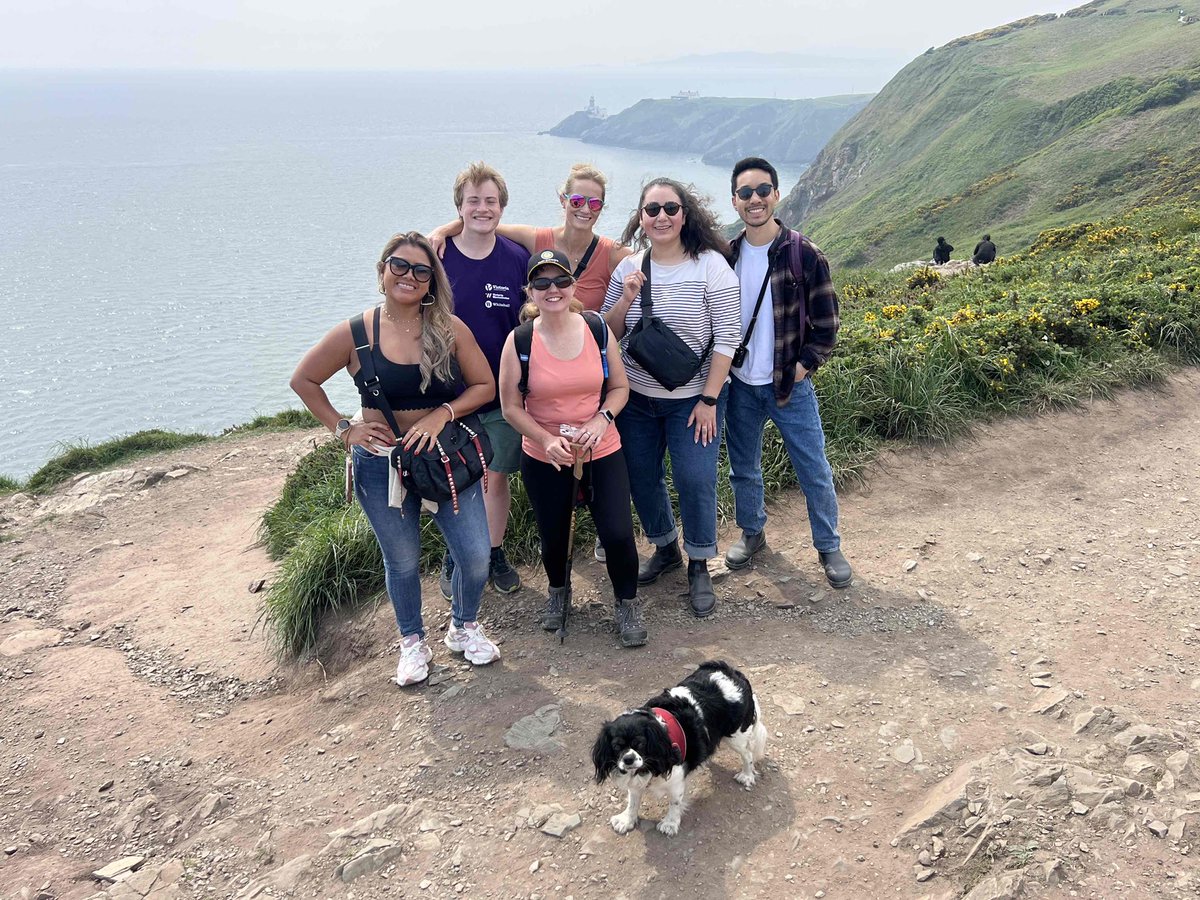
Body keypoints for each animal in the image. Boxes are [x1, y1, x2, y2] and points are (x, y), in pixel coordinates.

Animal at [590, 657, 768, 835]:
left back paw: (747, 776)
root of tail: (730, 671)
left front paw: (670, 823)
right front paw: (627, 820)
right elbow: (633, 800)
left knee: (748, 755)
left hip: (736, 736)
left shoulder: (676, 780)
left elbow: (674, 803)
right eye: (616, 746)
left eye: (640, 743)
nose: (628, 759)